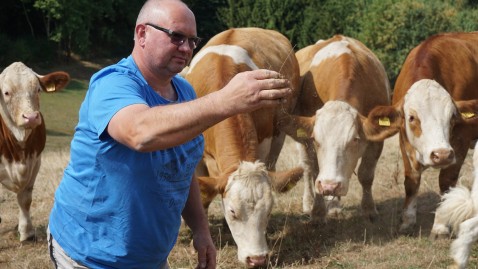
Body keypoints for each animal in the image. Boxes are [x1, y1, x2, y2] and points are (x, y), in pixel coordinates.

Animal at [0, 61, 70, 240]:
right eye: (6, 92)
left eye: (38, 90)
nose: (31, 117)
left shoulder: (35, 161)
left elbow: (25, 198)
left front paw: (27, 232)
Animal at [183, 26, 302, 266]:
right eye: (232, 212)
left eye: (268, 211)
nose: (256, 259)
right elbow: (202, 198)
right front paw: (197, 242)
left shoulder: (264, 143)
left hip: (280, 134)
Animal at [282, 34, 394, 221]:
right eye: (316, 139)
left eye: (355, 139)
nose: (329, 186)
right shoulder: (309, 140)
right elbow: (315, 171)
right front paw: (317, 212)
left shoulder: (376, 140)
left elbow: (366, 175)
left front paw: (369, 209)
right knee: (307, 169)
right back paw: (311, 203)